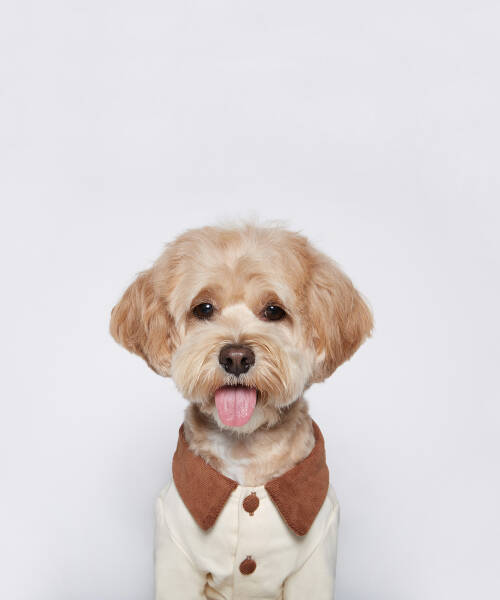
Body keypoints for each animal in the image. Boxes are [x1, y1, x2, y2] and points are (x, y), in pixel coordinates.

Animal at [110, 224, 372, 599]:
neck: (246, 452)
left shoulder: (315, 563)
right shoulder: (175, 557)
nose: (235, 357)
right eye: (204, 308)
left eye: (274, 311)